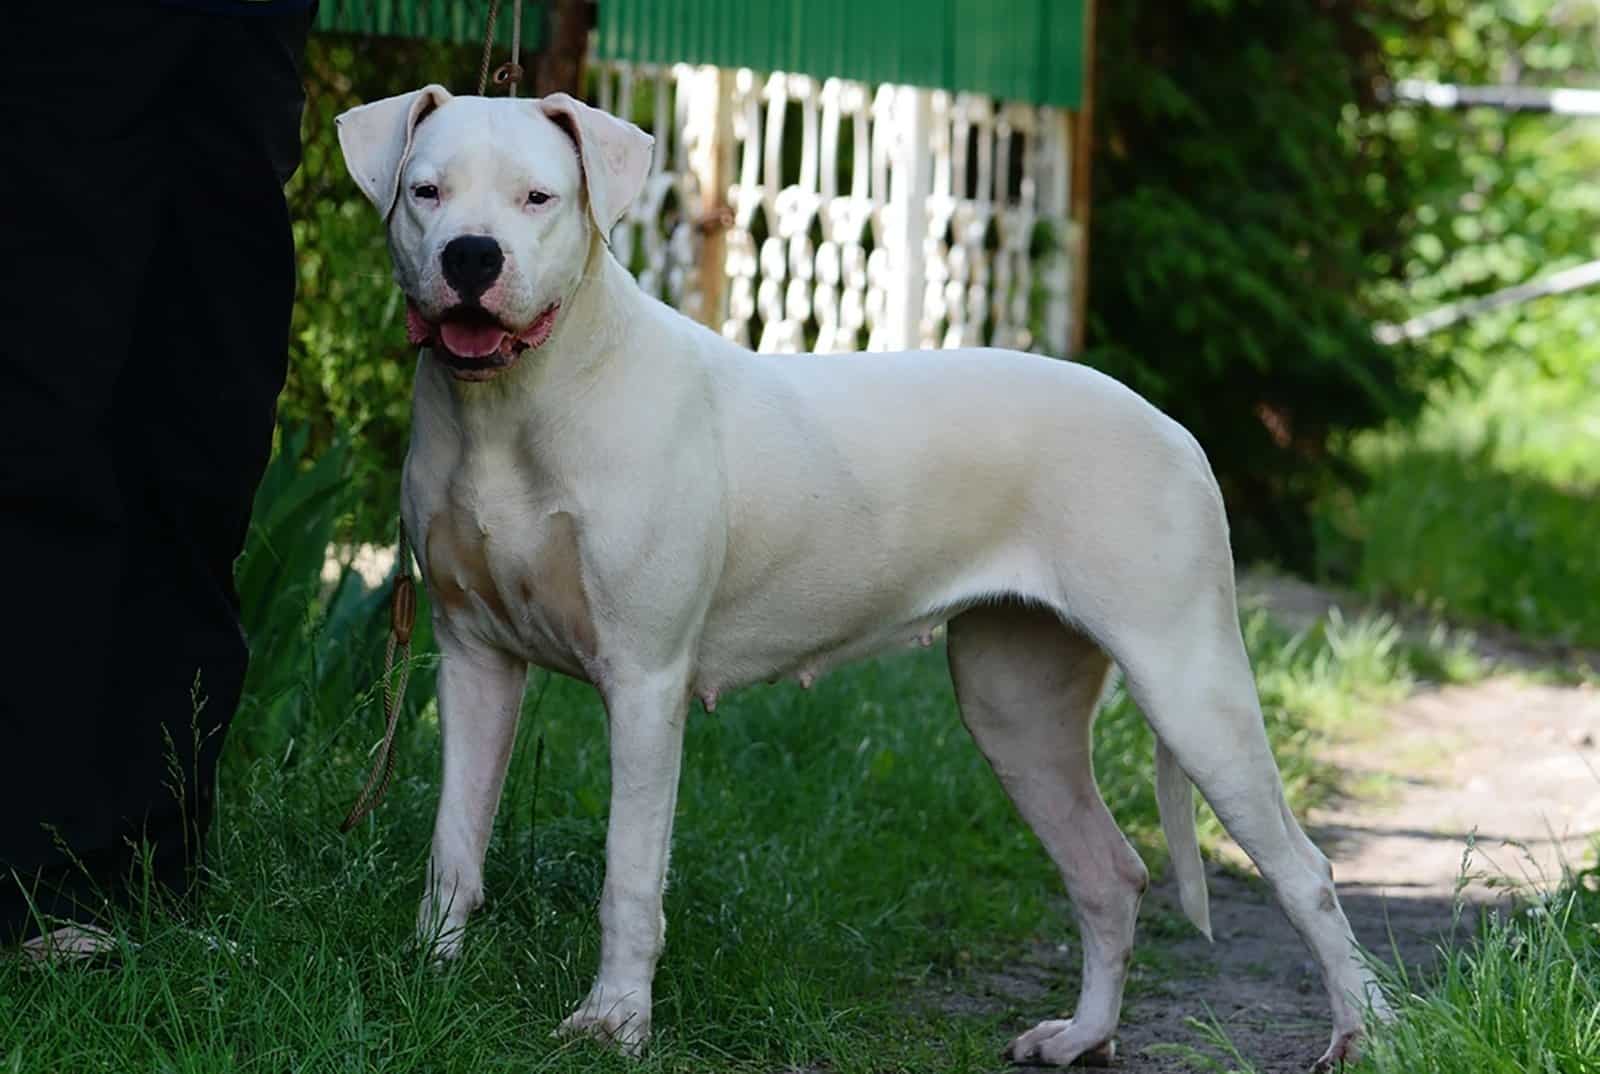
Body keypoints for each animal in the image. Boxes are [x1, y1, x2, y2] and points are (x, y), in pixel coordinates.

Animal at [337, 84, 1388, 1069]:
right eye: (426, 192)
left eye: (538, 197)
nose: (472, 258)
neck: (516, 408)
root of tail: (1173, 428)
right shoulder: (472, 661)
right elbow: (454, 841)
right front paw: (428, 978)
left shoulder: (643, 680)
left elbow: (628, 873)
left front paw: (614, 1023)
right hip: (1017, 706)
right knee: (1109, 873)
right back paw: (1080, 1037)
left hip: (1189, 682)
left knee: (1304, 872)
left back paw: (1362, 1035)